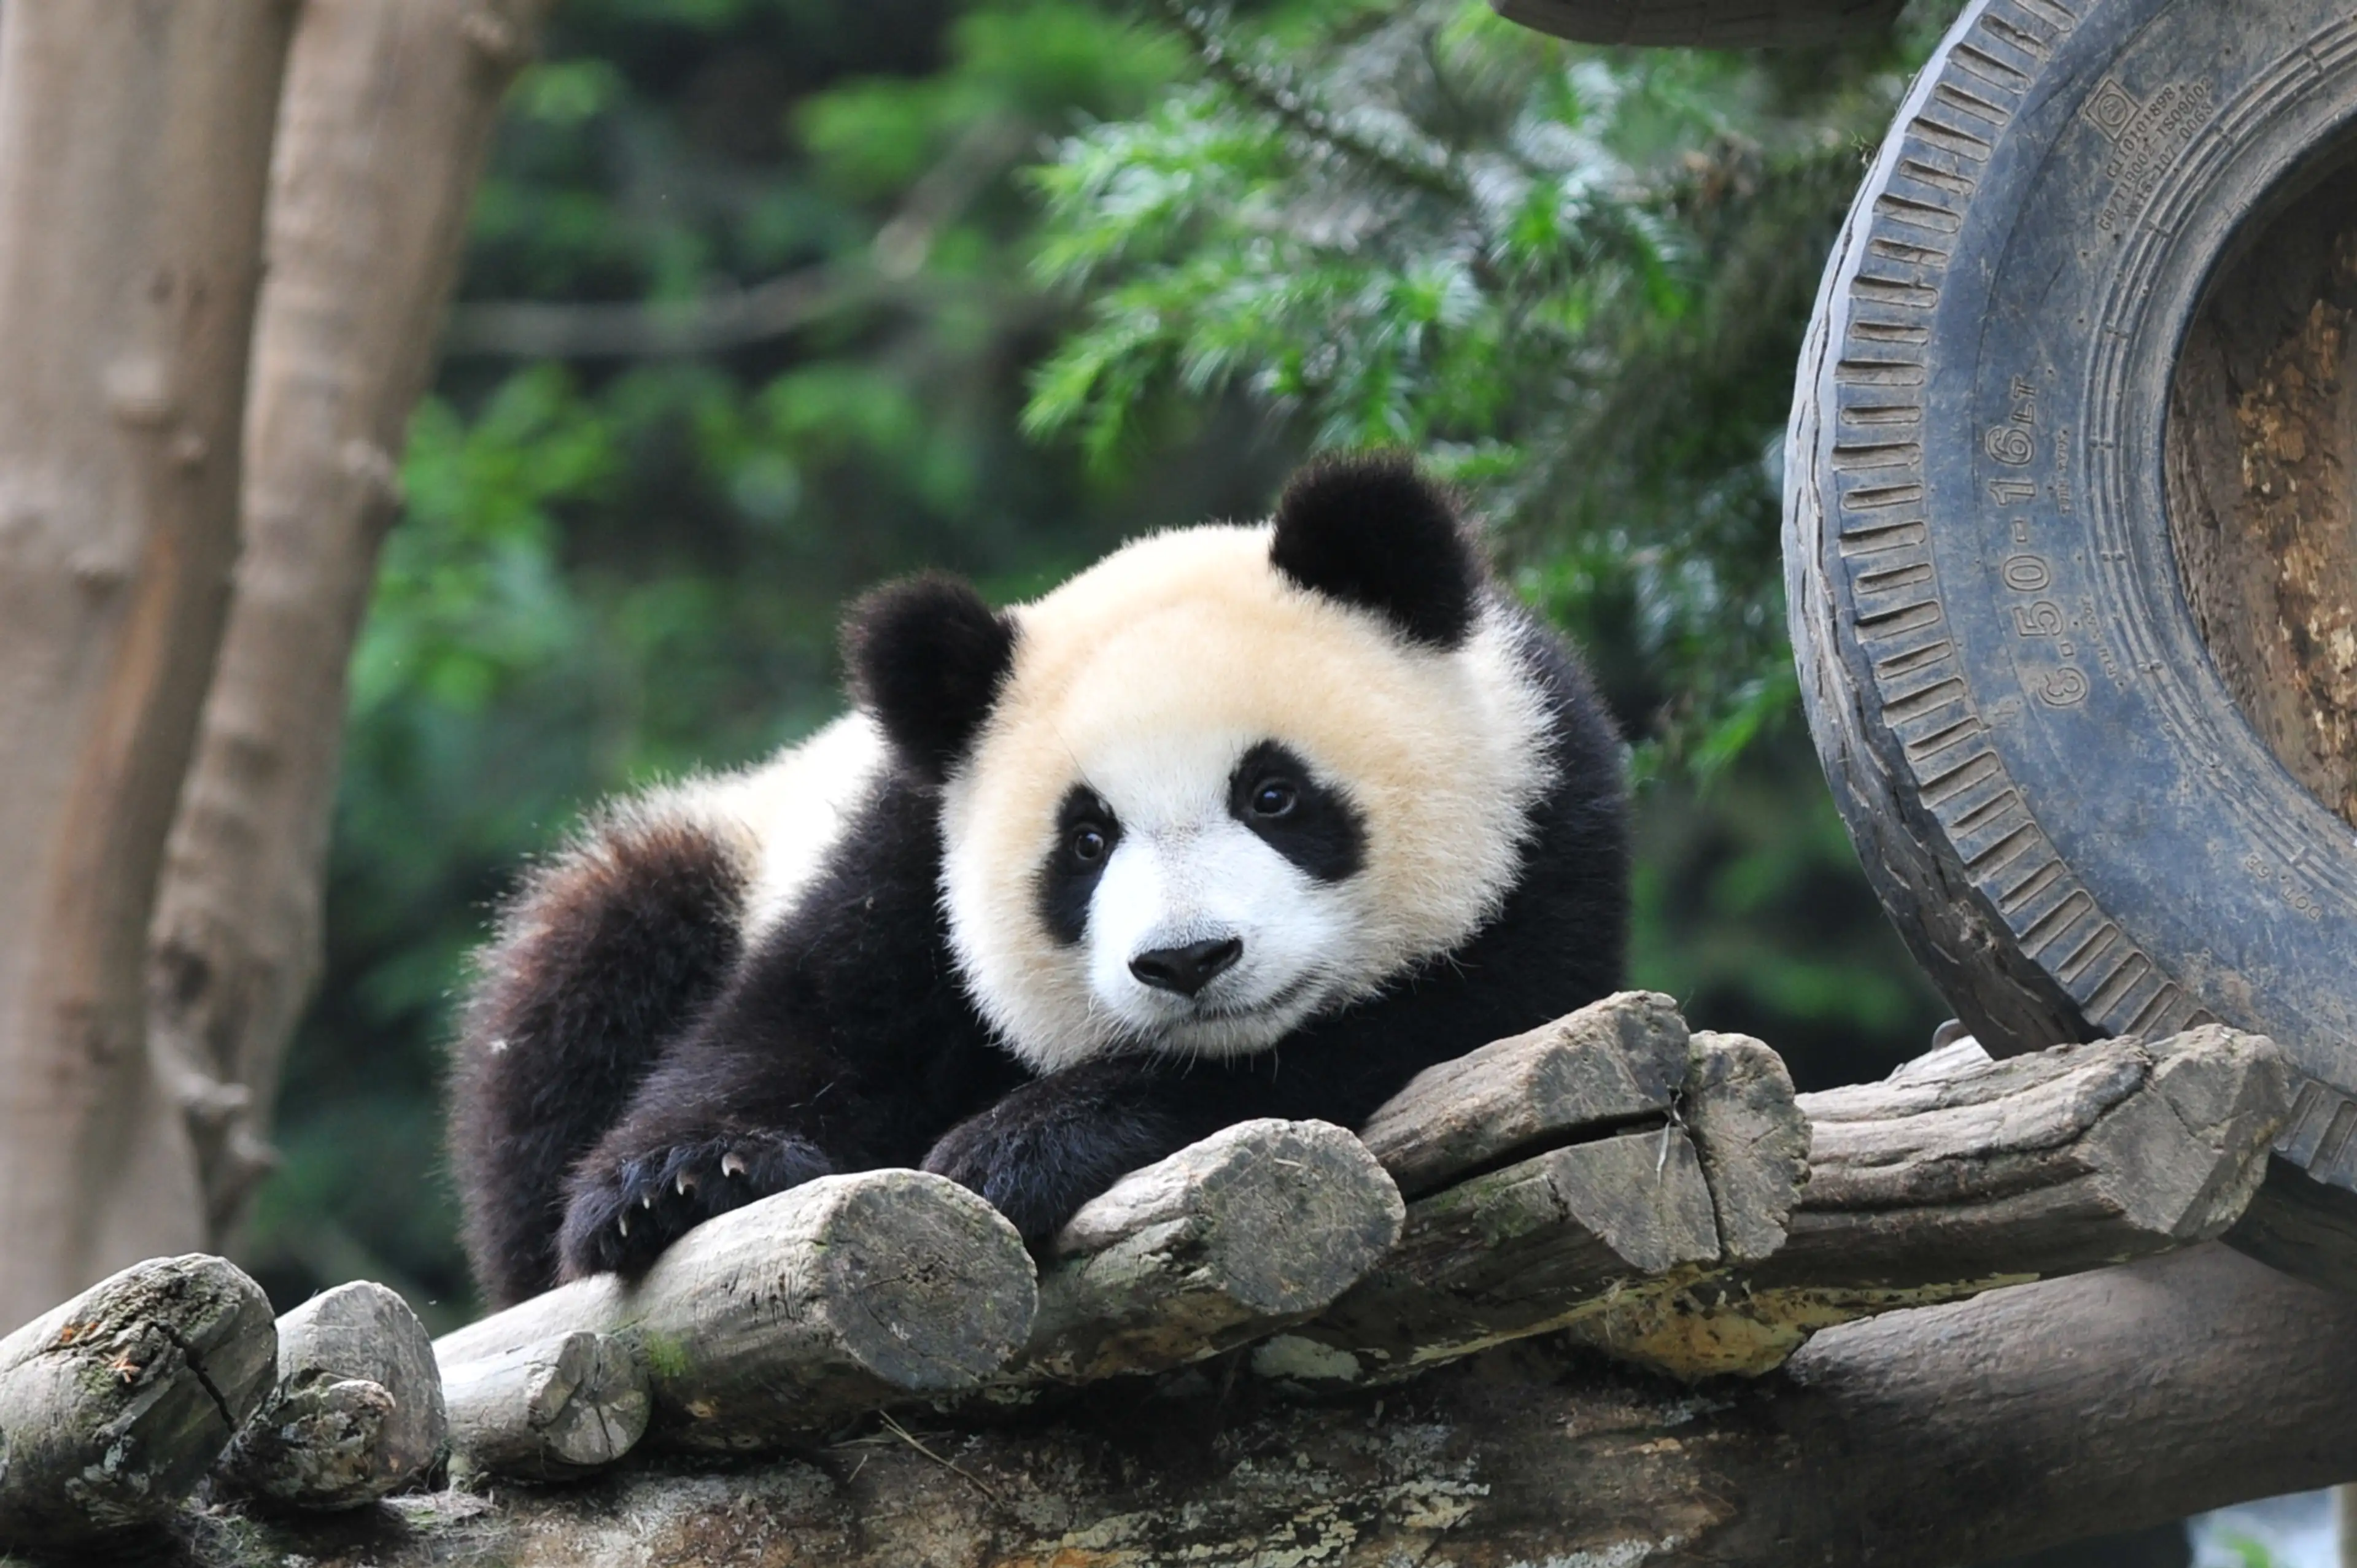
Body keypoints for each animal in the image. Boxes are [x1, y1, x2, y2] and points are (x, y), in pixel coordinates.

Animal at [450, 453, 1628, 1307]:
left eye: (1274, 796)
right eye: (1086, 841)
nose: (1189, 960)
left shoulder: (1548, 835)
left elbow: (1400, 1030)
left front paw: (1020, 1145)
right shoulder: (904, 849)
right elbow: (800, 1023)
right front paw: (683, 1180)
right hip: (717, 851)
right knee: (577, 988)